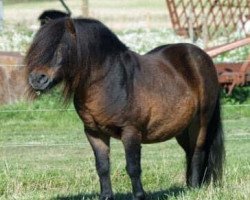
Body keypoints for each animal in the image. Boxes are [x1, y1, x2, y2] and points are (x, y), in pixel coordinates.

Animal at [25, 18, 225, 200]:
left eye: (61, 47)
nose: (37, 79)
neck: (109, 81)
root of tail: (202, 56)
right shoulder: (94, 133)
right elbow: (102, 167)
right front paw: (106, 196)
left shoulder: (130, 131)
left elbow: (133, 167)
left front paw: (139, 196)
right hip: (182, 128)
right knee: (189, 152)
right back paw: (189, 186)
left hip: (201, 122)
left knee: (198, 151)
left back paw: (194, 188)